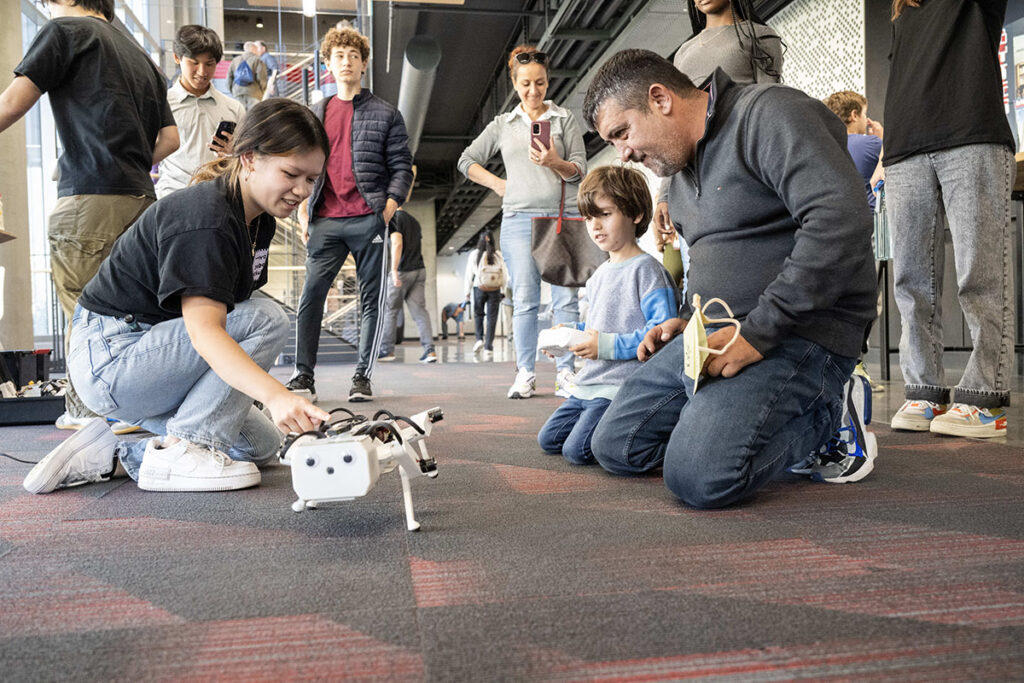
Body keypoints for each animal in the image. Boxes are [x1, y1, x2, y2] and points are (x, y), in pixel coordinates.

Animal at [278, 405, 442, 532]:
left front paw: (413, 524)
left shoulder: (396, 448)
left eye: (348, 458)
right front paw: (302, 504)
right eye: (310, 461)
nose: (330, 469)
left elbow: (405, 468)